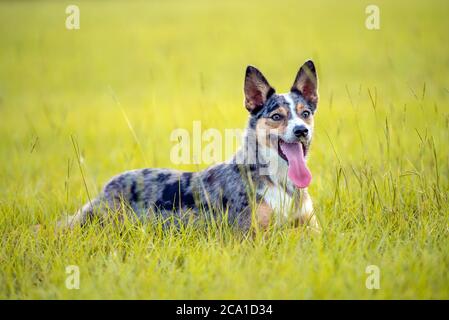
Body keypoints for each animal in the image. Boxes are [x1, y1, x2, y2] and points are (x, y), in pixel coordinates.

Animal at [60, 60, 318, 231]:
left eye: (305, 113)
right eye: (277, 116)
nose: (301, 131)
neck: (280, 180)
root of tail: (107, 187)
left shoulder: (310, 230)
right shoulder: (251, 237)